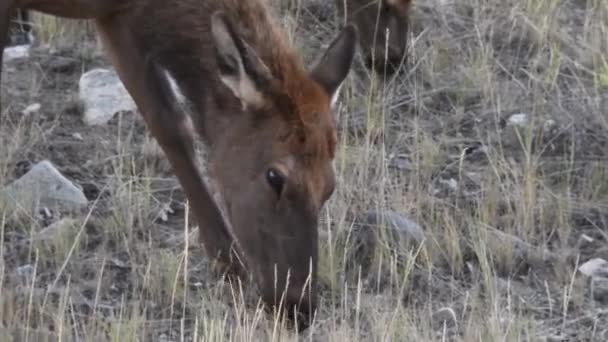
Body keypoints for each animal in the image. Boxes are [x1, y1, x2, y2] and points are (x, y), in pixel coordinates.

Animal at [0, 0, 358, 332]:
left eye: (330, 187)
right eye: (275, 176)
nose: (299, 307)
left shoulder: (115, 17)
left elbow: (170, 123)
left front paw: (228, 263)